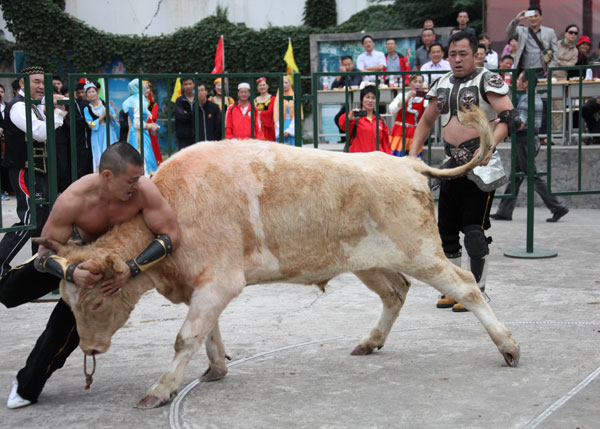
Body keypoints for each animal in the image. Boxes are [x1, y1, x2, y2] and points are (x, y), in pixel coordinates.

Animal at [42, 107, 520, 408]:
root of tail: (407, 164)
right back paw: (370, 342)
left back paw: (508, 346)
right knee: (395, 292)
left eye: (96, 301)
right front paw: (215, 369)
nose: (90, 347)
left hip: (421, 252)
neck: (171, 204)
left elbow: (186, 337)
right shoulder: (205, 286)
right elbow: (208, 333)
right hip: (368, 262)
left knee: (466, 286)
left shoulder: (219, 282)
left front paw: (160, 391)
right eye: (66, 301)